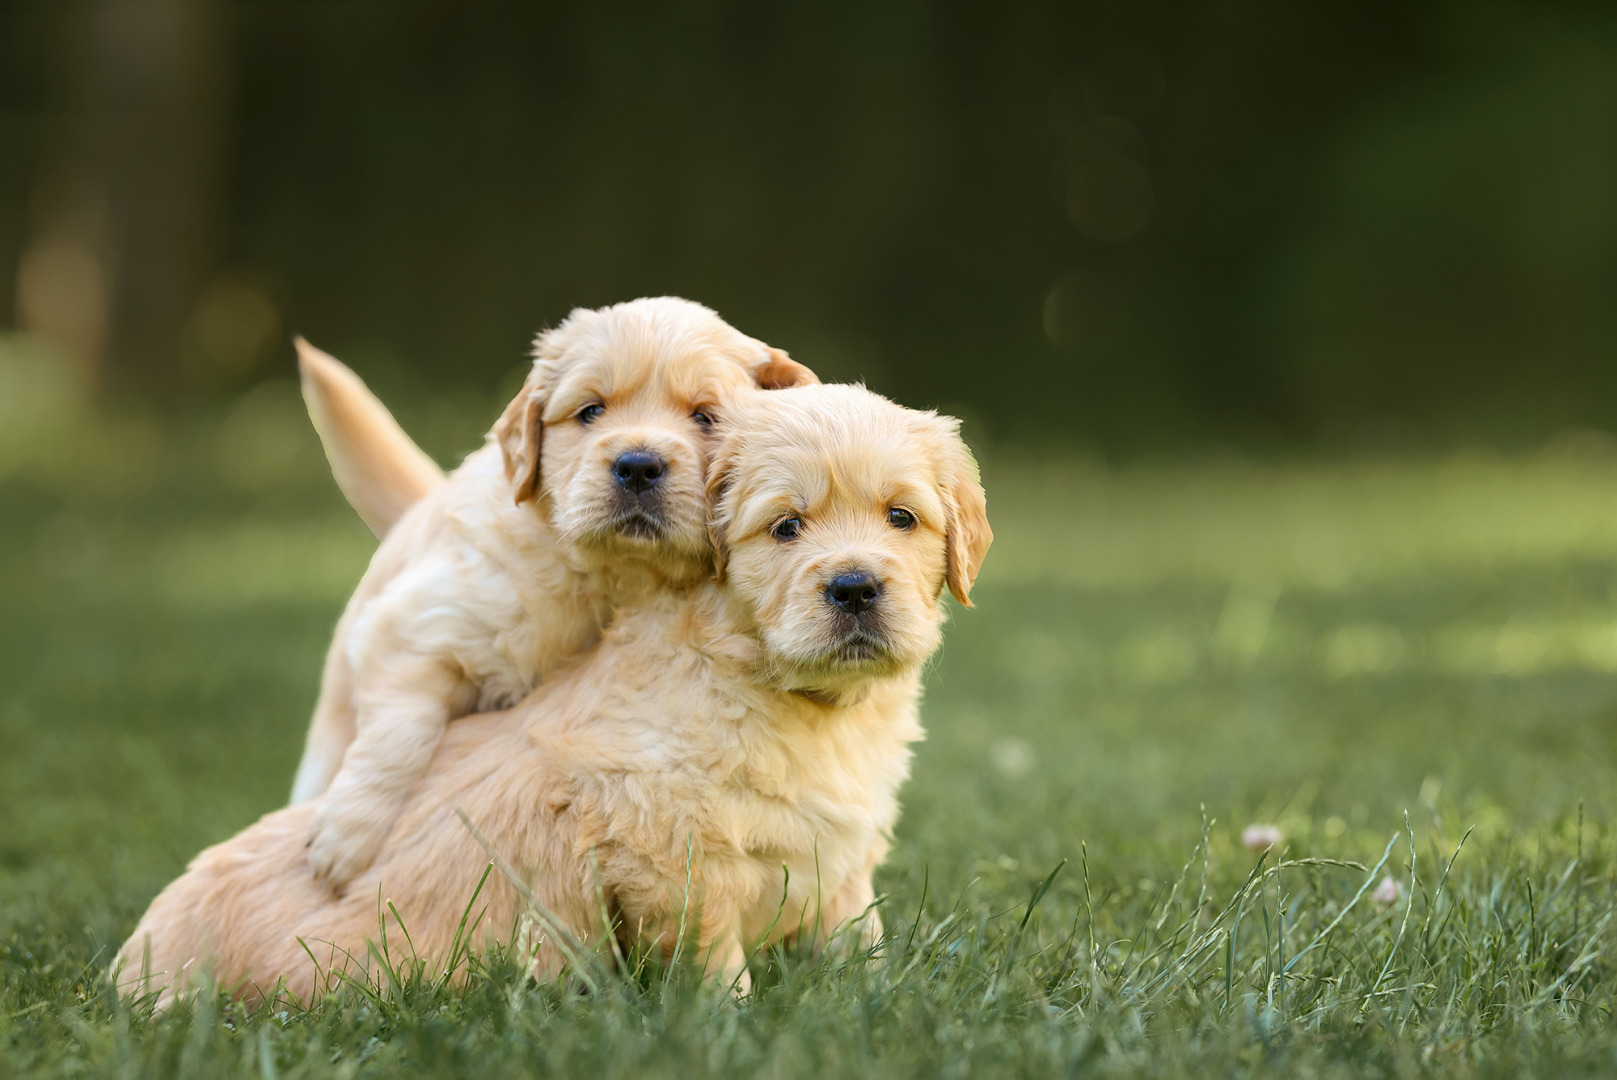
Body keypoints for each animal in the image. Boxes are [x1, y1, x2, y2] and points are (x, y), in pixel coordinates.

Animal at [113, 383, 989, 1008]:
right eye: (784, 528)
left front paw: (879, 1000)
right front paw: (731, 1024)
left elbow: (856, 936)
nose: (855, 587)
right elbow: (713, 962)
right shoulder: (666, 853)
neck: (794, 697)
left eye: (901, 517)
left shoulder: (837, 854)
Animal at [291, 295, 814, 885]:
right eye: (590, 412)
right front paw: (345, 837)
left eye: (706, 417)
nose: (637, 466)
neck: (619, 578)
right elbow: (399, 731)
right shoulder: (416, 623)